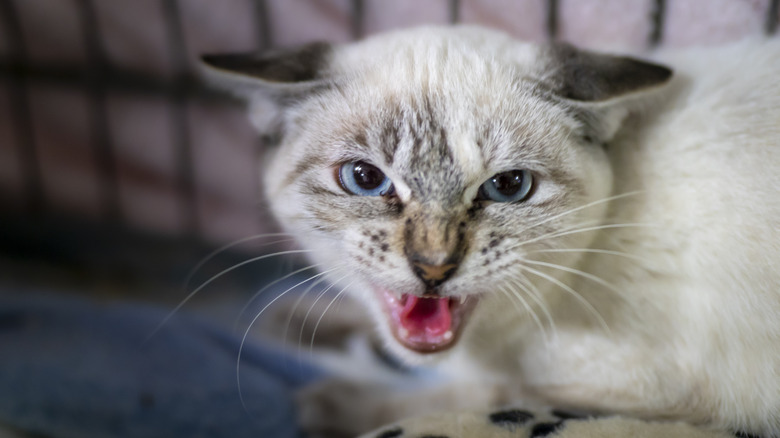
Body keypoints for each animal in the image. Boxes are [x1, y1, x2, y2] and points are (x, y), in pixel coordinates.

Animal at [203, 27, 780, 438]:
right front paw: (287, 320)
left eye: (507, 186)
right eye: (365, 178)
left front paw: (328, 401)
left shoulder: (654, 395)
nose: (433, 266)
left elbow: (480, 397)